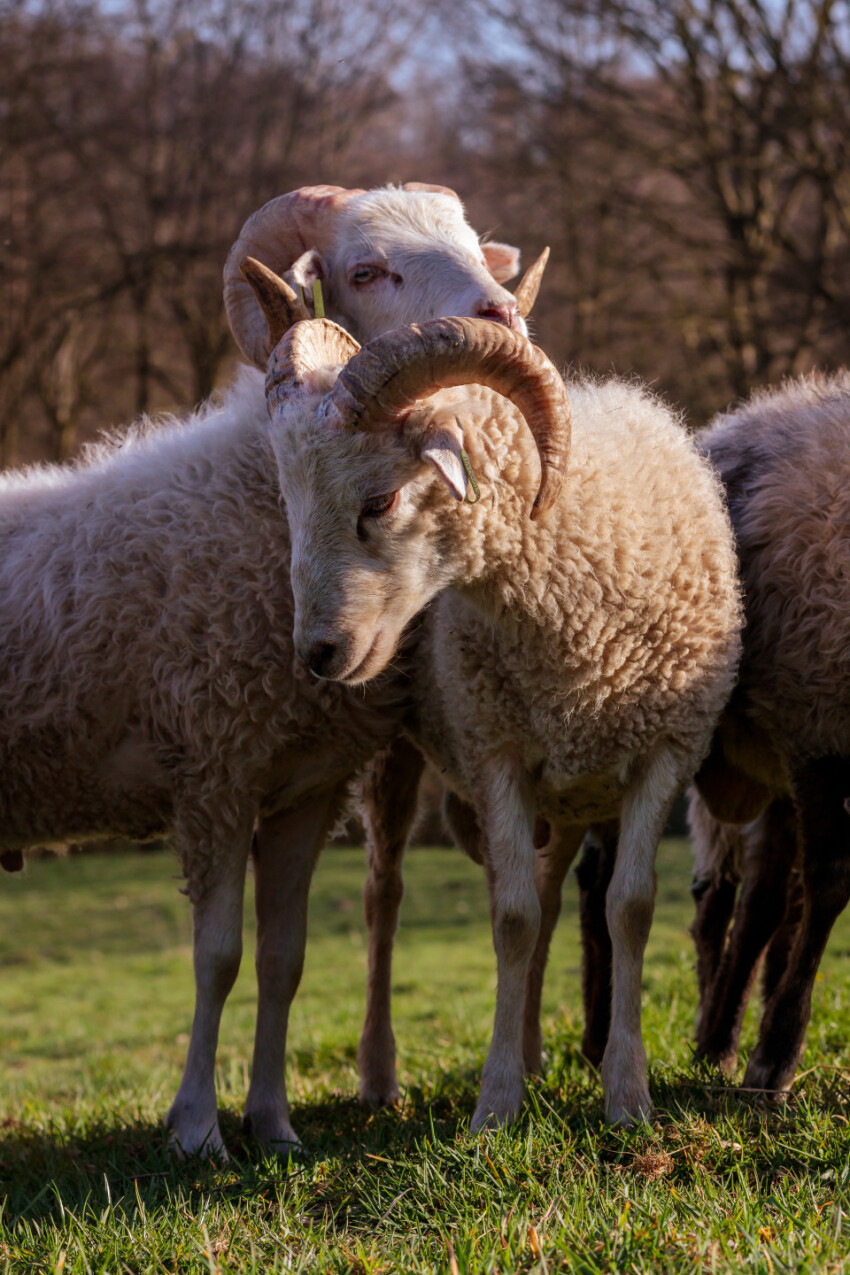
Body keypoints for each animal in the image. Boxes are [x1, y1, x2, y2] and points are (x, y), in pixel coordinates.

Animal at [0, 182, 545, 1157]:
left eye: (472, 241)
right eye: (365, 269)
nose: (501, 316)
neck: (260, 500)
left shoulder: (302, 784)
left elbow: (284, 960)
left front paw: (273, 1123)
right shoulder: (212, 768)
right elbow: (216, 958)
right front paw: (195, 1131)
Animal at [240, 289, 744, 1127]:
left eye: (380, 499)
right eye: (290, 505)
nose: (318, 653)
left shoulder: (665, 751)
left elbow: (628, 908)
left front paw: (627, 1094)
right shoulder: (497, 751)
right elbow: (511, 919)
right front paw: (498, 1103)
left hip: (569, 785)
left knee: (548, 892)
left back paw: (539, 1052)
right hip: (407, 763)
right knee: (386, 898)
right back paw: (382, 1071)